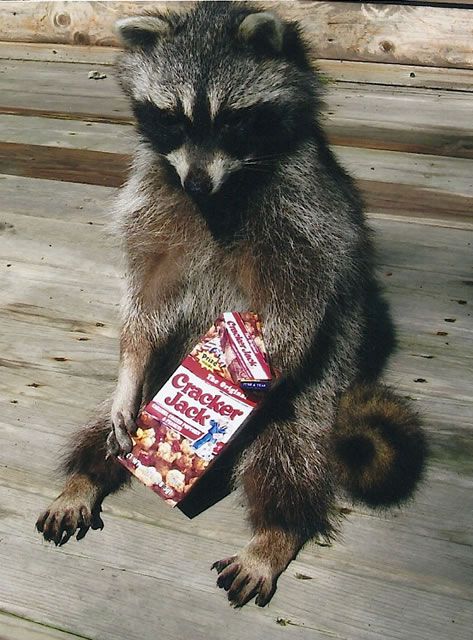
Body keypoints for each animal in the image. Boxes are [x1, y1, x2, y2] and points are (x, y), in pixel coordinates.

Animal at [37, 2, 426, 608]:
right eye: (173, 119)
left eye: (229, 122)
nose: (197, 183)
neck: (220, 193)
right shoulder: (154, 196)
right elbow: (147, 294)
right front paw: (128, 362)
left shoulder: (307, 207)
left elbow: (303, 293)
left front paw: (267, 366)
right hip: (161, 378)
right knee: (105, 428)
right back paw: (84, 477)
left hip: (319, 392)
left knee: (288, 453)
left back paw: (275, 533)